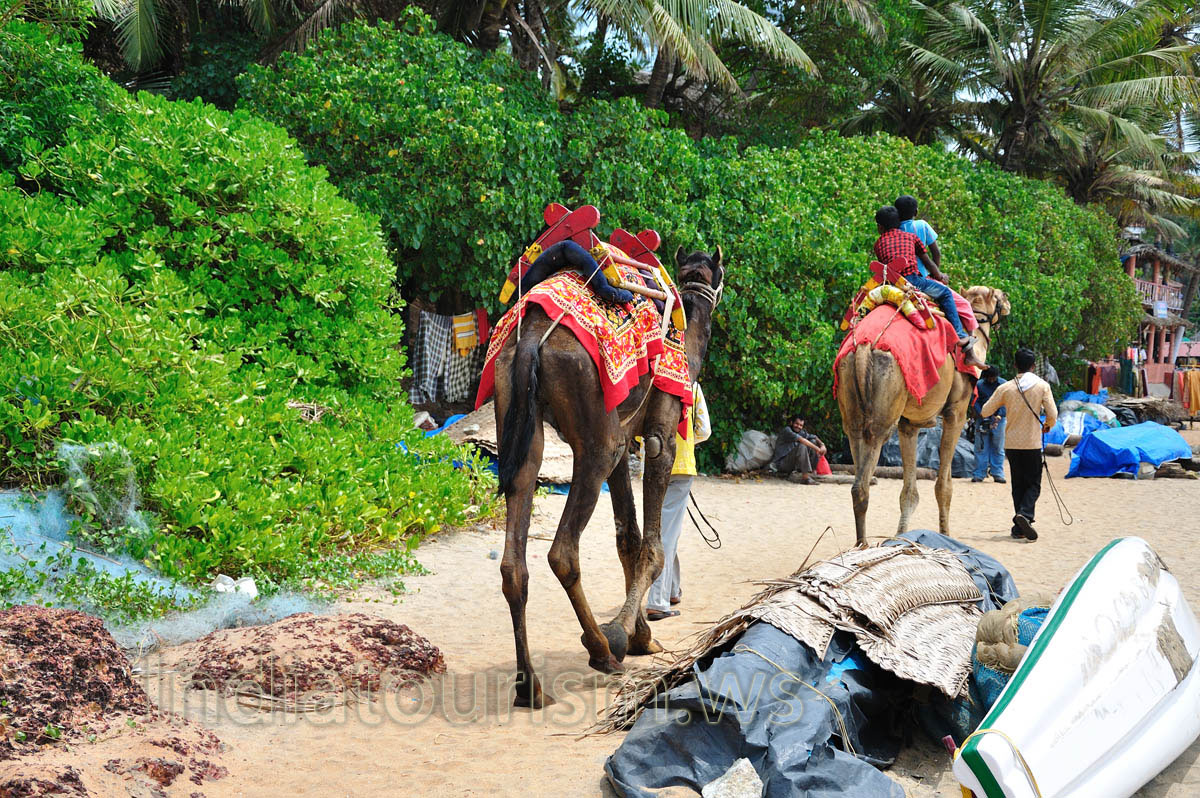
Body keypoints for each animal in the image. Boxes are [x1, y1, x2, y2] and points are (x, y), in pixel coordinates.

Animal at [493, 248, 725, 708]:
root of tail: (529, 341)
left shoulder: (625, 435)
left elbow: (627, 540)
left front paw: (642, 636)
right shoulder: (658, 434)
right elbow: (651, 548)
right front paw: (625, 634)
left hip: (521, 417)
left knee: (514, 564)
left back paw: (530, 686)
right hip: (595, 440)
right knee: (562, 552)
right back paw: (601, 648)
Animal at [836, 286, 1010, 544]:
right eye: (999, 296)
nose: (1008, 303)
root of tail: (864, 347)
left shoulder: (909, 423)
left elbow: (909, 491)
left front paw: (902, 538)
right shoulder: (956, 412)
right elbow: (944, 486)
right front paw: (946, 538)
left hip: (851, 407)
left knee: (856, 466)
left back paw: (861, 545)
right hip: (882, 416)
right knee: (865, 477)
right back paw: (864, 546)